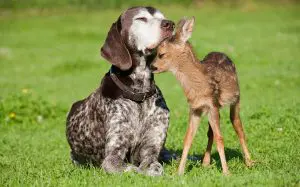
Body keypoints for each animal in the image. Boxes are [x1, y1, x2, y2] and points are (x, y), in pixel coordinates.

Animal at [65, 5, 173, 175]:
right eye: (141, 19)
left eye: (163, 17)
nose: (169, 24)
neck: (139, 94)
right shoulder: (112, 156)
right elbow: (133, 169)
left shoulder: (151, 149)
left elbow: (154, 166)